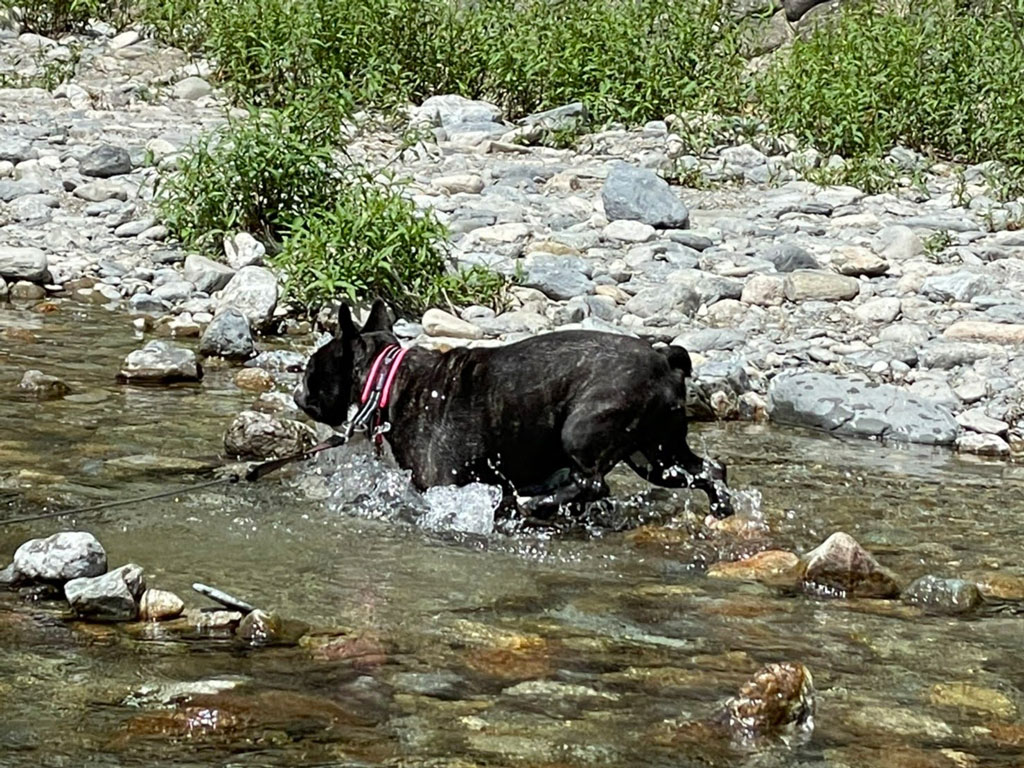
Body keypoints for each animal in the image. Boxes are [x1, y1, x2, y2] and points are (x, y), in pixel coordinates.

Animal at [292, 301, 733, 518]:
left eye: (311, 371)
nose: (298, 395)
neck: (387, 378)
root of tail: (665, 360)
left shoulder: (441, 483)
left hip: (583, 430)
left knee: (592, 482)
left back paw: (532, 504)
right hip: (655, 454)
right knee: (707, 470)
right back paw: (721, 508)